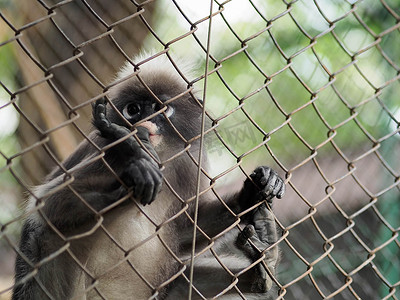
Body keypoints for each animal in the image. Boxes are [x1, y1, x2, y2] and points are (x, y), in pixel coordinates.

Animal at [11, 54, 284, 300]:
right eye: (133, 109)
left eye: (161, 109)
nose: (146, 122)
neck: (161, 154)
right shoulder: (102, 148)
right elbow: (49, 204)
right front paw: (134, 150)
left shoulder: (191, 161)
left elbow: (184, 229)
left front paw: (254, 192)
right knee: (47, 232)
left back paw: (261, 271)